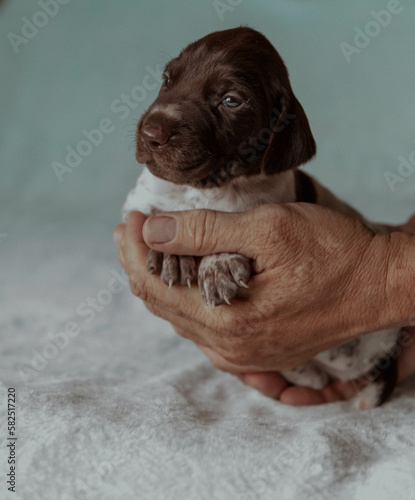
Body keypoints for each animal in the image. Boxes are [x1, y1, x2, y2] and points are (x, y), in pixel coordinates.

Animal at [122, 27, 402, 408]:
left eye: (231, 101)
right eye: (167, 80)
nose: (151, 134)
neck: (208, 186)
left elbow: (234, 216)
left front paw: (218, 262)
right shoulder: (139, 200)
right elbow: (158, 212)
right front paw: (174, 253)